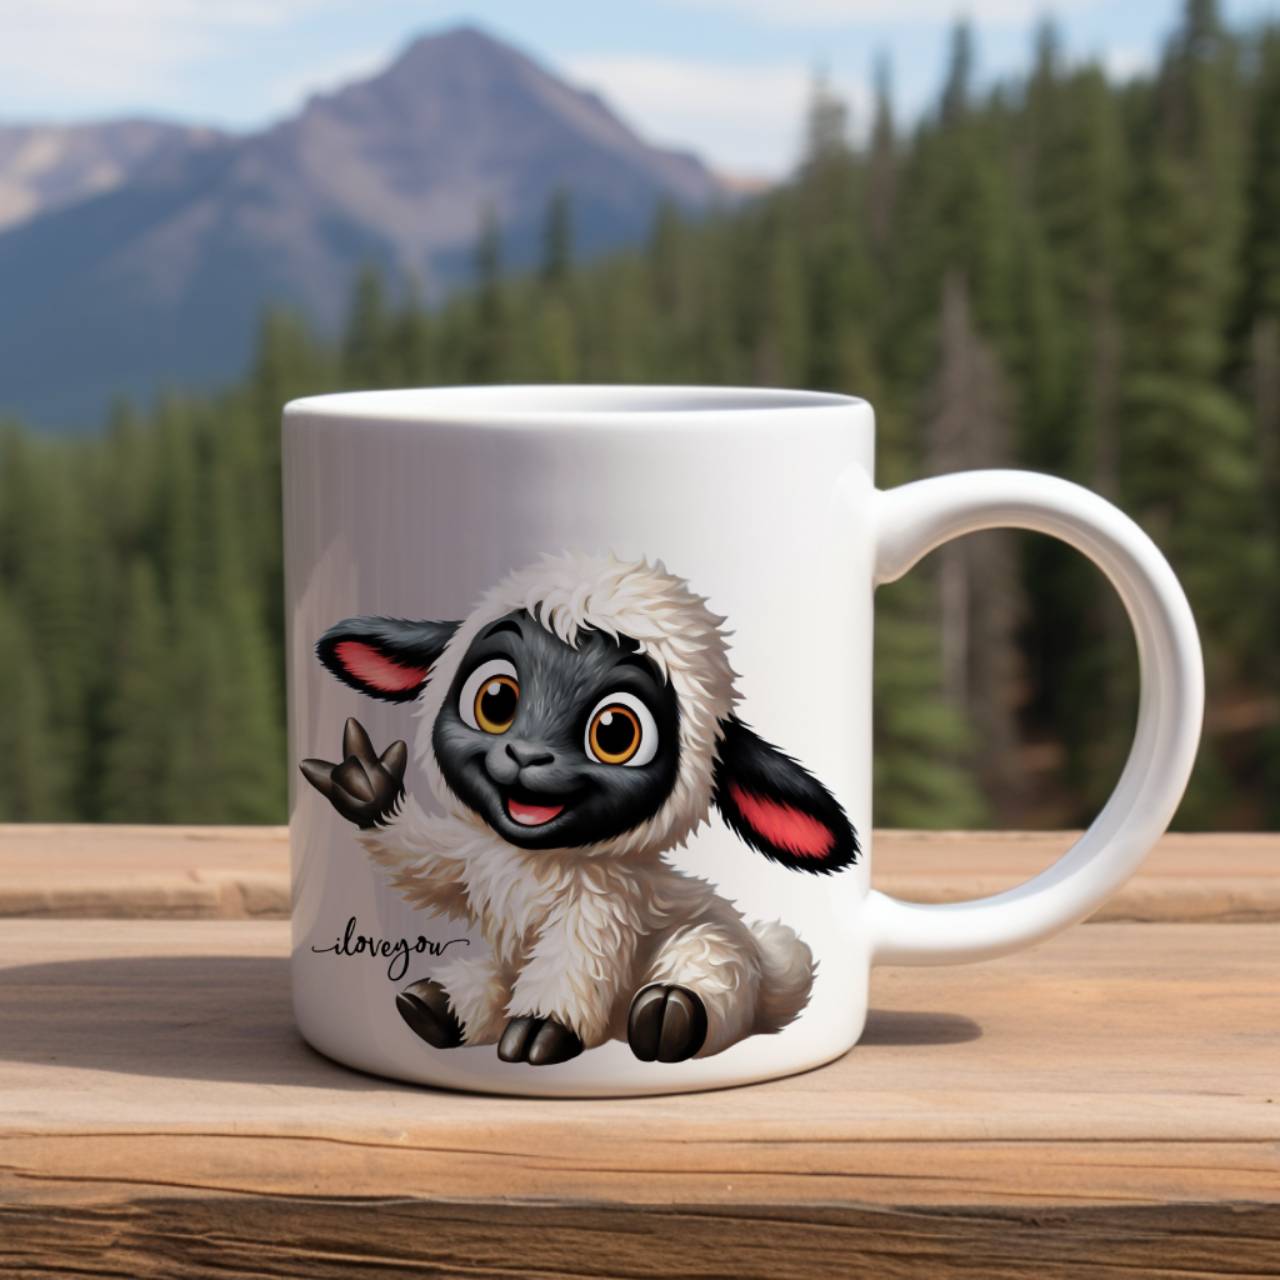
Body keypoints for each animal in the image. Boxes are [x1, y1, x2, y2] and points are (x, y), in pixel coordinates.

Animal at [301, 552, 859, 1066]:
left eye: (614, 732)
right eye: (496, 699)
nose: (526, 755)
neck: (535, 861)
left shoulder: (602, 907)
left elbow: (572, 963)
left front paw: (541, 1027)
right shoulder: (472, 859)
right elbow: (421, 864)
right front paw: (368, 787)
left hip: (716, 945)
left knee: (707, 968)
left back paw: (671, 1009)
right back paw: (440, 1005)